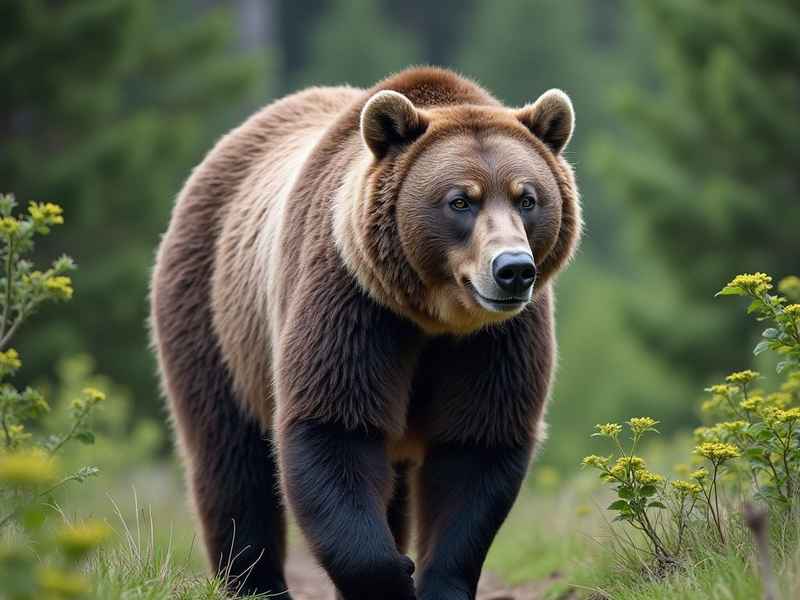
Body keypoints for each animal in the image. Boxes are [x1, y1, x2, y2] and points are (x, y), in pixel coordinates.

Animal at [150, 67, 581, 600]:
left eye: (528, 198)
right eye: (460, 200)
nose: (513, 270)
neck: (433, 316)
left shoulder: (496, 340)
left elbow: (476, 447)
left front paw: (435, 579)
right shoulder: (353, 301)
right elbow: (335, 428)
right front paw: (392, 574)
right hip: (214, 318)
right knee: (230, 461)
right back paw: (255, 583)